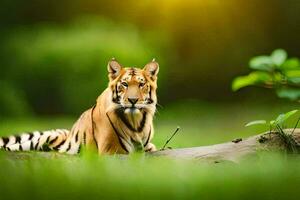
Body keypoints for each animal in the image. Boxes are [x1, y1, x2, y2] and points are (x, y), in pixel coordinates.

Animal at [0, 57, 159, 155]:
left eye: (141, 85)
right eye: (125, 84)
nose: (133, 100)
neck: (135, 120)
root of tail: (67, 133)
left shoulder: (147, 146)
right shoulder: (112, 149)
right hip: (41, 139)